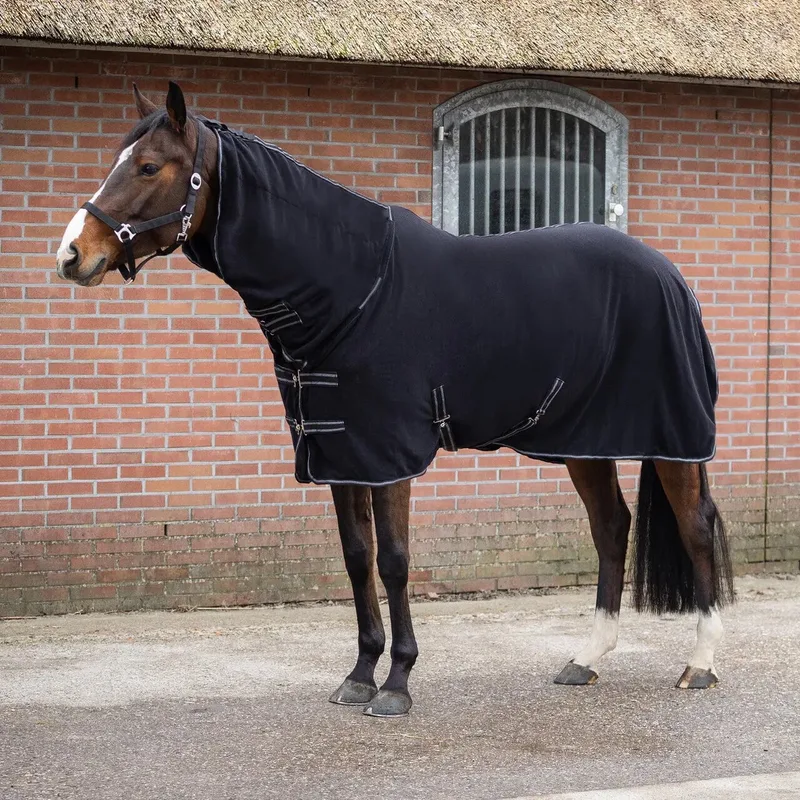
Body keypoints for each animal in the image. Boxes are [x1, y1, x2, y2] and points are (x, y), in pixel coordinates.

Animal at [55, 82, 734, 717]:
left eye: (148, 167)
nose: (71, 254)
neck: (353, 289)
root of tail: (671, 276)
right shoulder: (340, 454)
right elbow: (358, 558)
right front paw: (360, 675)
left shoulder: (388, 457)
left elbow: (396, 560)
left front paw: (398, 683)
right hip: (585, 442)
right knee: (611, 527)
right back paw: (585, 660)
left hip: (671, 440)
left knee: (695, 528)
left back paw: (699, 665)